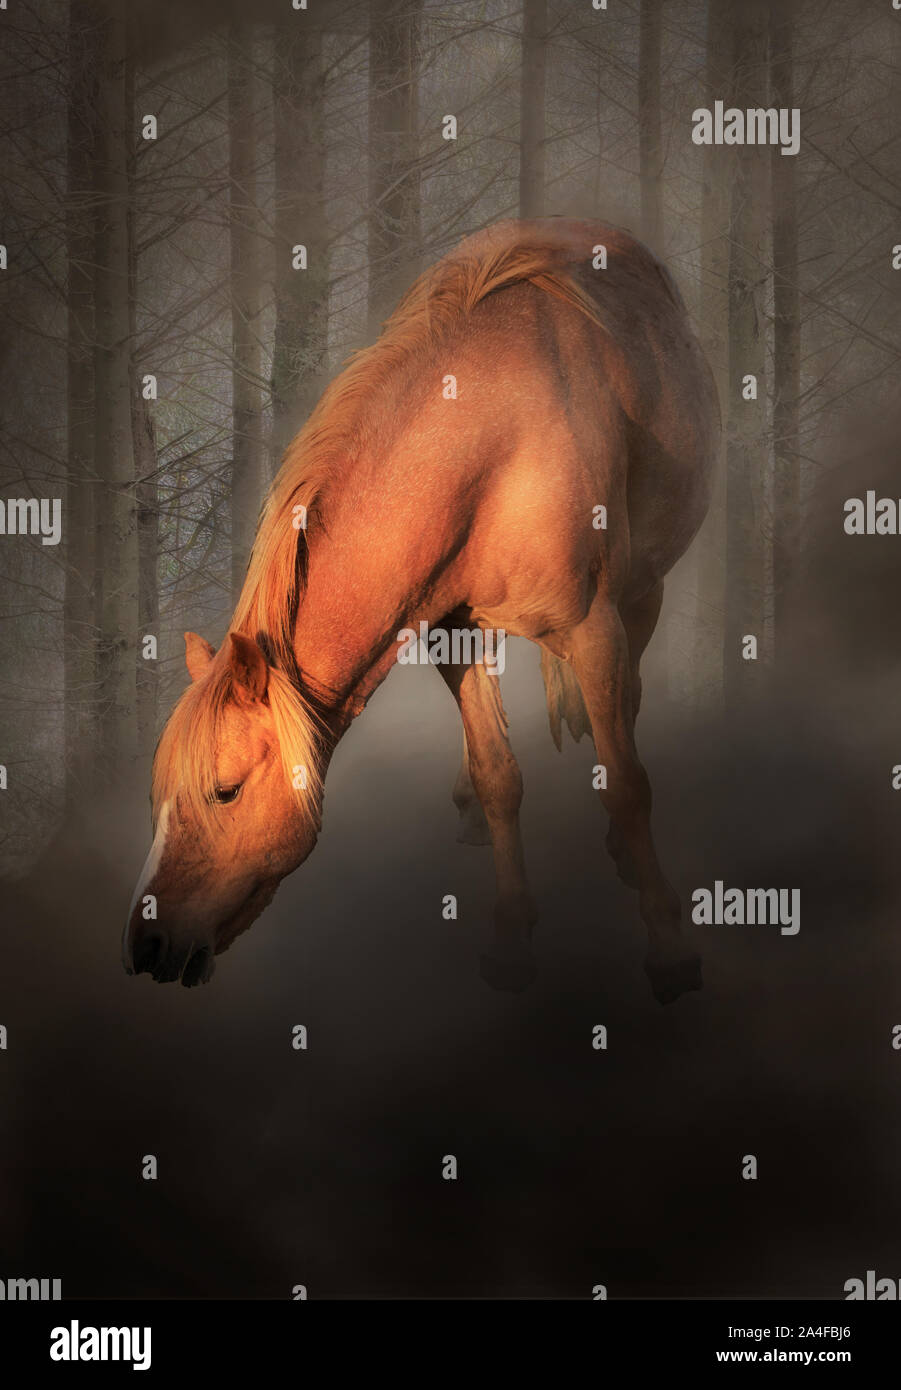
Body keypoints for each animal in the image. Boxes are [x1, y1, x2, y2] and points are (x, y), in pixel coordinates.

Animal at [123, 217, 720, 1002]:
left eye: (224, 792)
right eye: (156, 794)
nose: (144, 946)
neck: (497, 446)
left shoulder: (596, 628)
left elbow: (624, 783)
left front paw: (669, 948)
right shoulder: (452, 635)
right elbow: (499, 778)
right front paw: (511, 941)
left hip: (644, 589)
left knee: (629, 699)